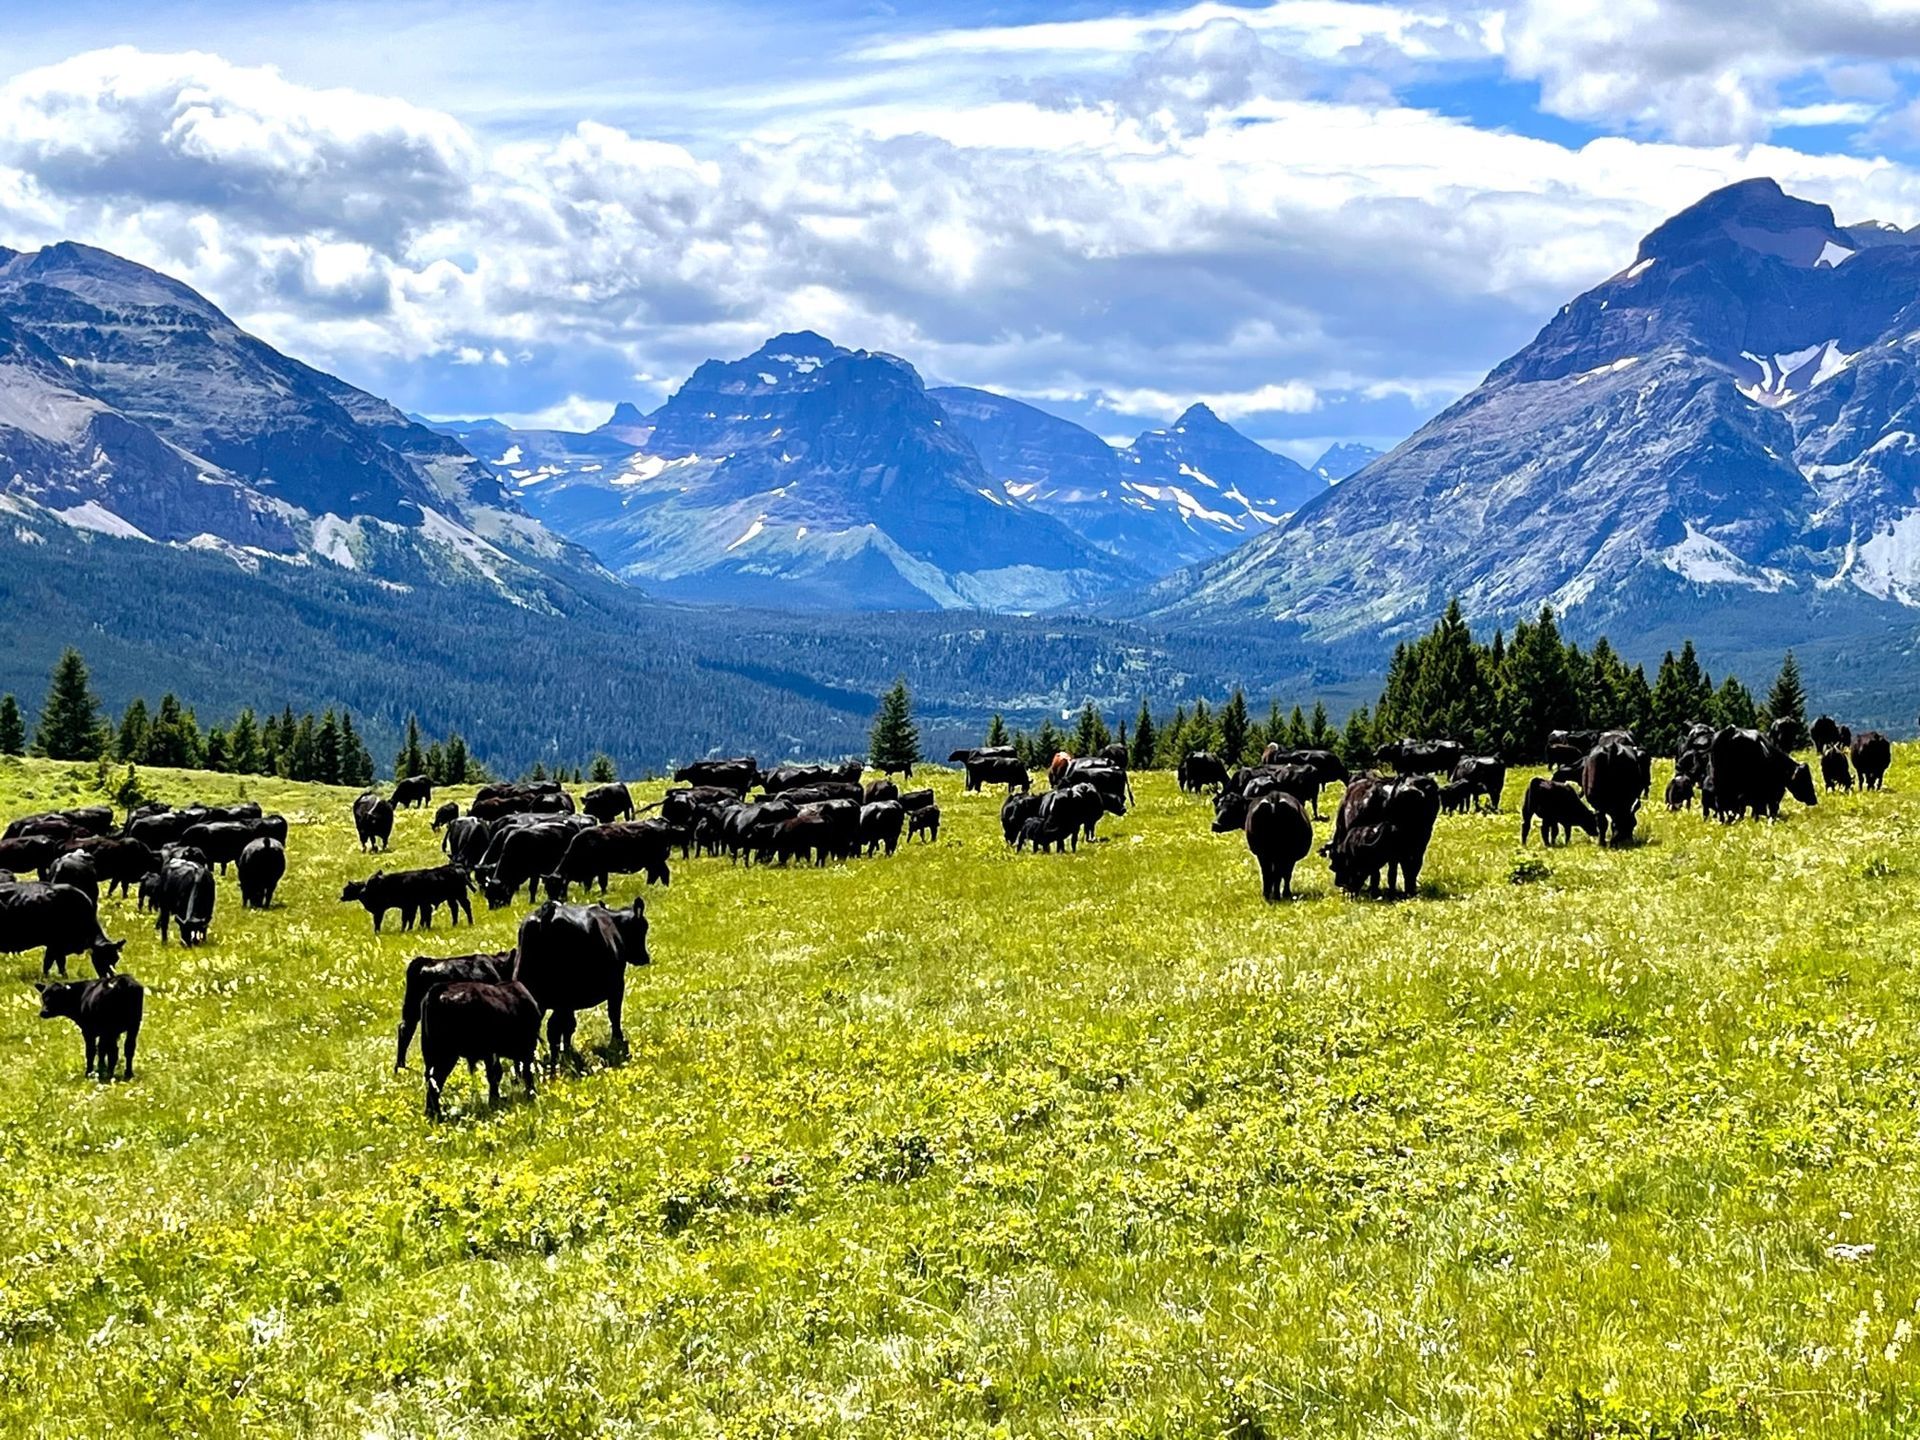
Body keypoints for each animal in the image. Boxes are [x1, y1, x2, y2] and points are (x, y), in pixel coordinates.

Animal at [341, 867, 472, 936]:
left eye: (347, 889)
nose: (341, 897)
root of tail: (457, 869)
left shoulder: (384, 909)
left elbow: (404, 919)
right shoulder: (411, 906)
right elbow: (411, 918)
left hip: (460, 896)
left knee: (465, 906)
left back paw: (470, 923)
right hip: (452, 898)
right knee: (454, 908)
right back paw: (454, 924)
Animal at [420, 990, 541, 1121]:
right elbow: (519, 1073)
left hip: (431, 1054)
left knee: (432, 1080)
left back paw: (431, 1114)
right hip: (447, 1055)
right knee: (436, 1081)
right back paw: (435, 1114)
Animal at [518, 902, 652, 1075]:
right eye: (643, 927)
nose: (645, 957)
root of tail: (545, 911)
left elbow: (568, 1027)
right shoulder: (616, 986)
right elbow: (614, 1014)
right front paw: (618, 1041)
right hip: (562, 999)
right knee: (553, 1028)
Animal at [541, 821, 675, 902]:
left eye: (558, 887)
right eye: (547, 889)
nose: (552, 902)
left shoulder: (601, 871)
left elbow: (601, 883)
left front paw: (603, 894)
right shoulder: (589, 874)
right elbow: (588, 885)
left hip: (656, 861)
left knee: (663, 873)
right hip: (653, 863)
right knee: (656, 874)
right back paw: (650, 887)